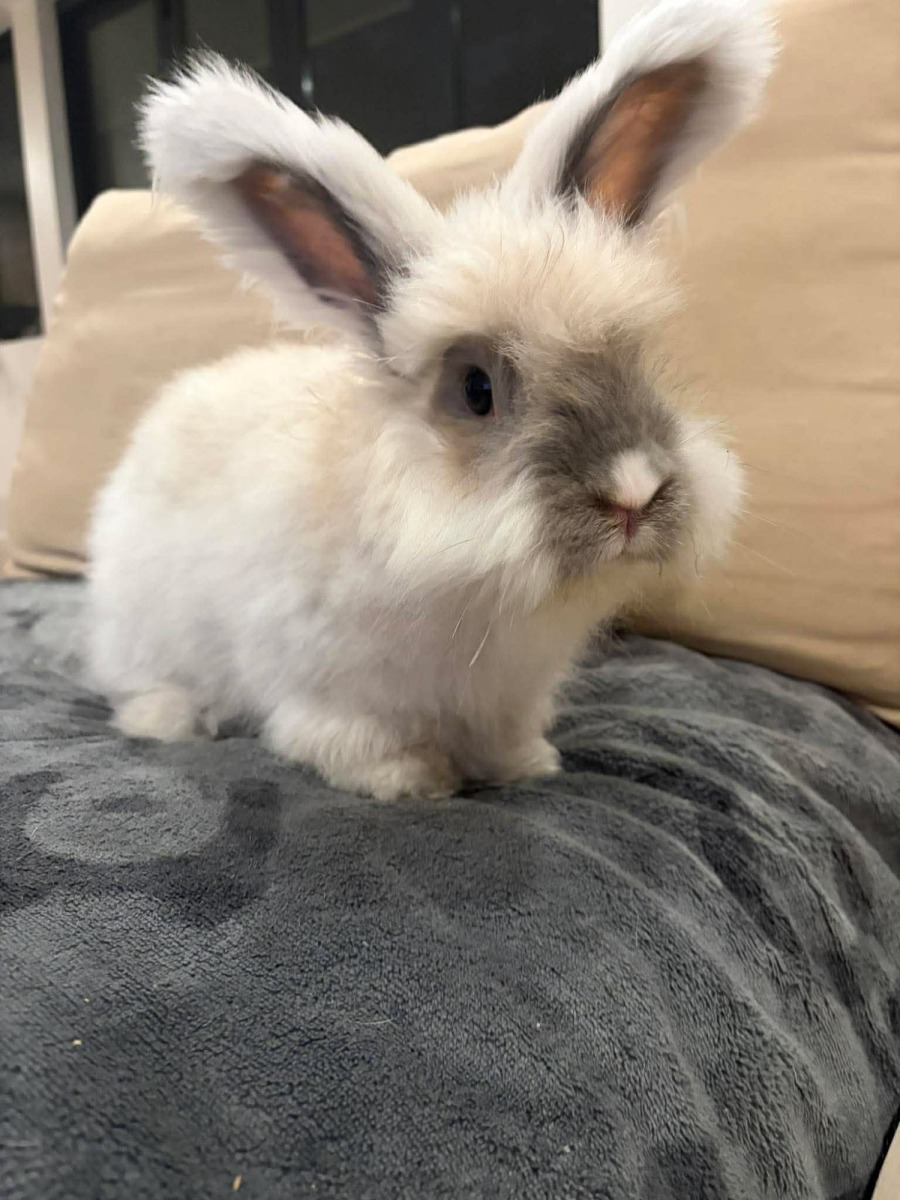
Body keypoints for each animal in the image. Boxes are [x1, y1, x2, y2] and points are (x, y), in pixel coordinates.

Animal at [88, 0, 774, 800]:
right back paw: (170, 720)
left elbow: (506, 741)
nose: (632, 493)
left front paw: (526, 767)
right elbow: (349, 740)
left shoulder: (509, 697)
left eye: (633, 359)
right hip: (145, 630)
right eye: (476, 391)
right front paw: (411, 780)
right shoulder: (332, 691)